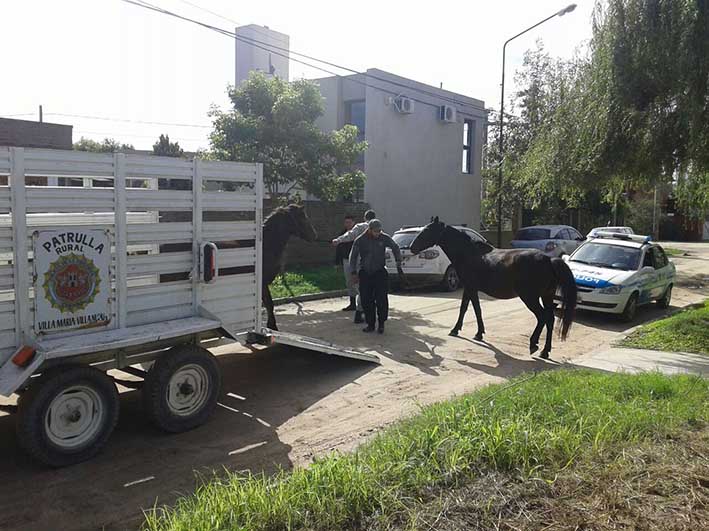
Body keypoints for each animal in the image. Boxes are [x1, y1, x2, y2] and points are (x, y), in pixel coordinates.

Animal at [410, 218, 576, 360]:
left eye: (427, 231)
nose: (411, 247)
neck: (469, 253)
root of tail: (549, 260)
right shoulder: (471, 289)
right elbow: (473, 309)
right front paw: (478, 333)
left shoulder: (470, 288)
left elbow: (467, 309)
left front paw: (457, 330)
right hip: (546, 296)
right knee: (550, 319)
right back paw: (545, 351)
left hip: (530, 298)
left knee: (542, 317)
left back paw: (533, 344)